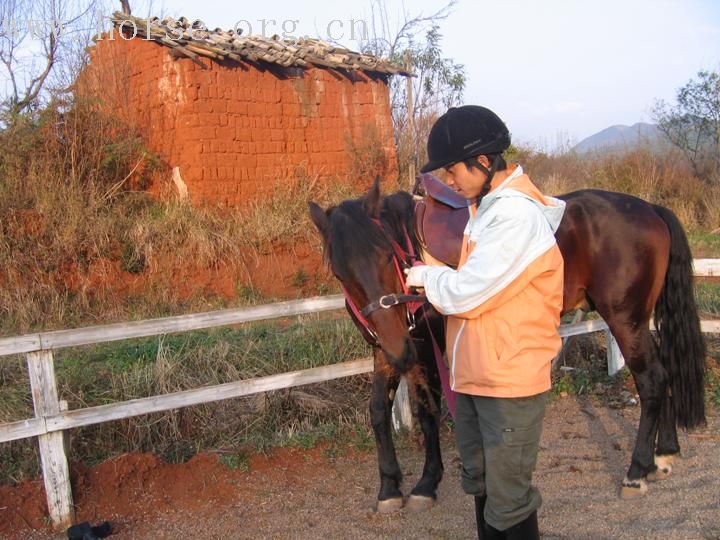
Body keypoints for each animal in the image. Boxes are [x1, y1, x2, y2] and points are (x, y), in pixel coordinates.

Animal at [308, 180, 704, 510]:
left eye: (384, 255)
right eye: (341, 273)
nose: (399, 350)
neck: (409, 252)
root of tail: (649, 208)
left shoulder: (421, 348)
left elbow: (427, 412)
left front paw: (426, 483)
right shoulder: (388, 347)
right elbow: (377, 410)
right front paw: (390, 487)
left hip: (626, 321)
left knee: (651, 380)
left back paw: (636, 471)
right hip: (640, 321)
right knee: (664, 370)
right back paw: (664, 454)